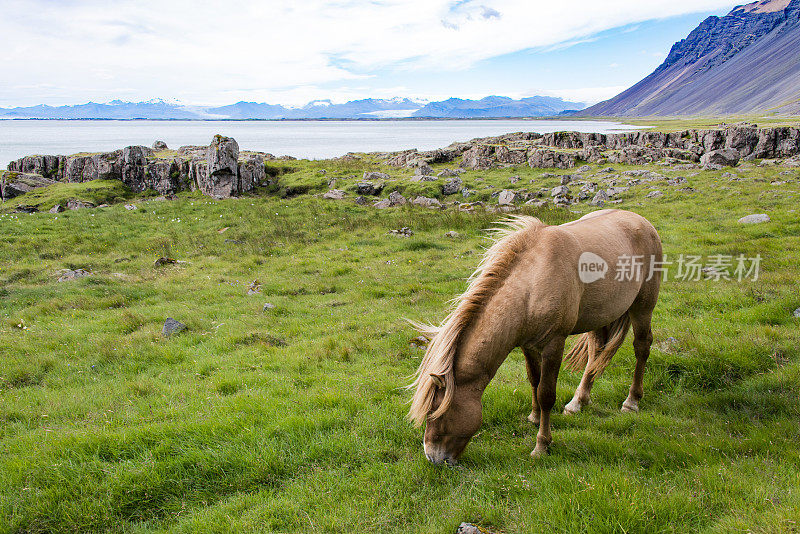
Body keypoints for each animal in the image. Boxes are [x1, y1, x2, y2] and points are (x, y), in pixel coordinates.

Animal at [410, 209, 660, 464]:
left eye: (436, 412)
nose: (432, 457)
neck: (532, 285)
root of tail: (641, 221)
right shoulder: (527, 346)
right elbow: (534, 380)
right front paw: (534, 417)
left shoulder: (554, 344)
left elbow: (546, 393)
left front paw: (542, 445)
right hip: (600, 318)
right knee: (595, 353)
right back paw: (578, 402)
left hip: (643, 307)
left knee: (642, 347)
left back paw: (631, 401)